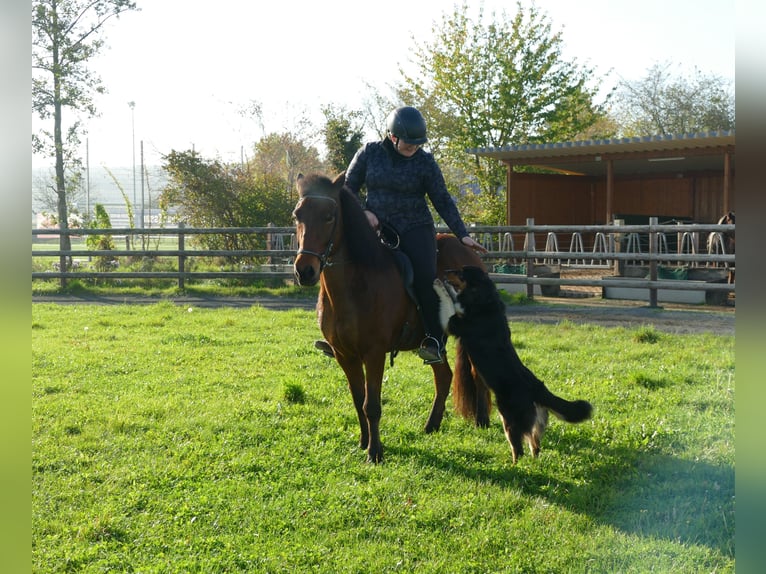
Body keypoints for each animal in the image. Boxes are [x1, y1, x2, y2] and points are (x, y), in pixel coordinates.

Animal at [294, 172, 486, 464]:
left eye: (329, 216)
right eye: (297, 215)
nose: (305, 270)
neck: (356, 284)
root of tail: (469, 253)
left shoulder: (374, 353)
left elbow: (372, 404)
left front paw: (375, 452)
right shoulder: (344, 355)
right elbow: (358, 399)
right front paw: (363, 442)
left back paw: (482, 421)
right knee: (444, 376)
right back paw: (431, 426)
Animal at [438, 268, 592, 466]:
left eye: (460, 272)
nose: (445, 272)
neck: (485, 300)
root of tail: (537, 388)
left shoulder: (453, 324)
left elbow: (449, 302)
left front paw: (440, 286)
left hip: (509, 420)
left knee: (518, 449)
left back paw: (514, 466)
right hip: (535, 421)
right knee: (535, 444)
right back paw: (534, 464)